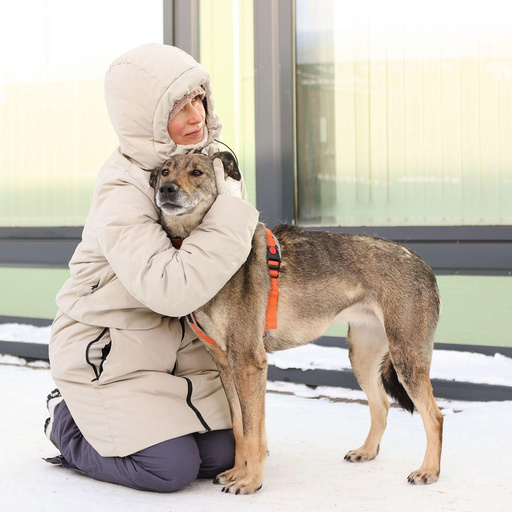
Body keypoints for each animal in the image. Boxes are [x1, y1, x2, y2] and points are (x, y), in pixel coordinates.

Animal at [150, 152, 444, 495]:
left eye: (196, 172)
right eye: (164, 172)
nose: (166, 189)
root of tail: (422, 262)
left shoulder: (248, 363)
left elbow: (252, 431)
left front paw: (251, 482)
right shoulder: (226, 365)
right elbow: (239, 427)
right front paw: (237, 472)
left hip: (406, 359)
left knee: (434, 416)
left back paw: (428, 471)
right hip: (361, 357)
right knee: (381, 404)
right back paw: (367, 451)